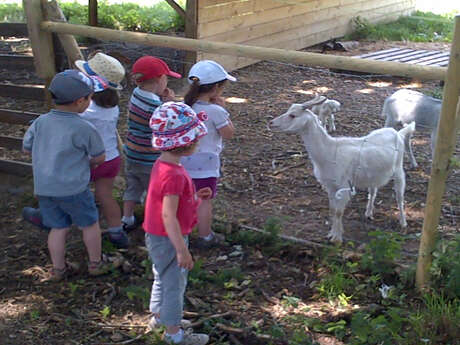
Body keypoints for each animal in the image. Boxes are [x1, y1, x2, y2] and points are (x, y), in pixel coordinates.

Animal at [268, 97, 416, 242]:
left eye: (292, 115)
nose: (271, 123)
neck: (329, 151)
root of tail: (398, 133)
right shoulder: (330, 186)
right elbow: (333, 210)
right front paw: (331, 234)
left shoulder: (344, 186)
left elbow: (339, 212)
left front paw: (337, 239)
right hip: (373, 174)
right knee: (373, 191)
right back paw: (368, 213)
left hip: (398, 170)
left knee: (399, 197)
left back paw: (403, 222)